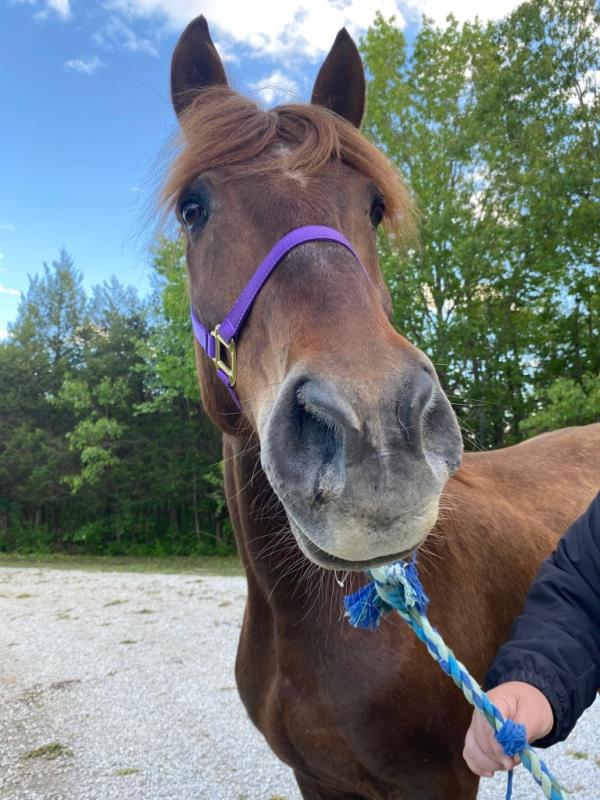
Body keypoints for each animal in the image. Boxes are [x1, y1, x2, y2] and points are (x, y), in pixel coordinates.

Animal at [164, 15, 600, 796]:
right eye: (194, 209)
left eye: (372, 206)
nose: (378, 438)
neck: (305, 618)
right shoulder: (316, 777)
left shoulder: (442, 781)